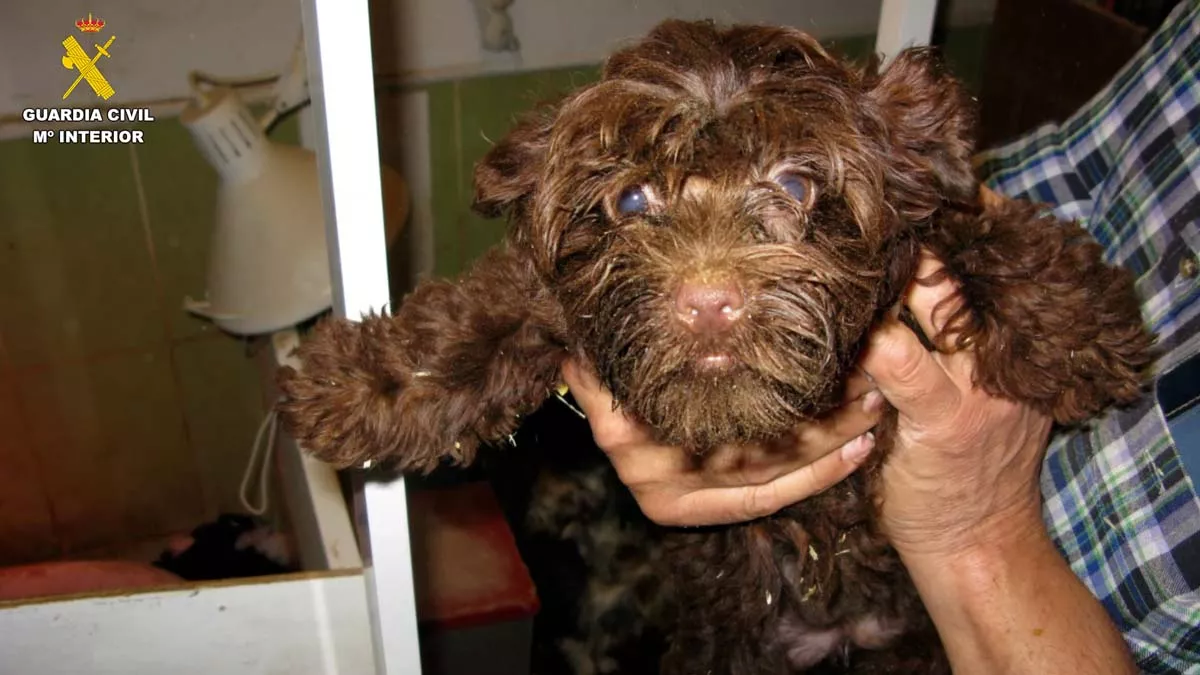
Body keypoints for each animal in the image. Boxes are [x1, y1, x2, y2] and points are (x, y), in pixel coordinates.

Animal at [276, 18, 1156, 667]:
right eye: (633, 197)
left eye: (797, 183)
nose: (708, 303)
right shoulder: (545, 297)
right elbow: (468, 320)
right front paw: (355, 382)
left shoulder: (935, 223)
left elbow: (977, 221)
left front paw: (1073, 326)